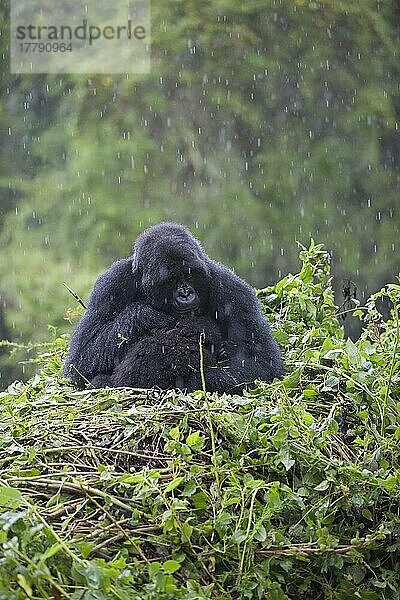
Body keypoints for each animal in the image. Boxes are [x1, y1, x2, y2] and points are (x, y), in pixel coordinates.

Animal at [64, 220, 282, 394]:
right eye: (171, 280)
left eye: (189, 274)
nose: (185, 293)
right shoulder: (111, 284)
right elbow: (79, 362)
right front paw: (143, 316)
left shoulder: (232, 289)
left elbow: (263, 365)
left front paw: (191, 380)